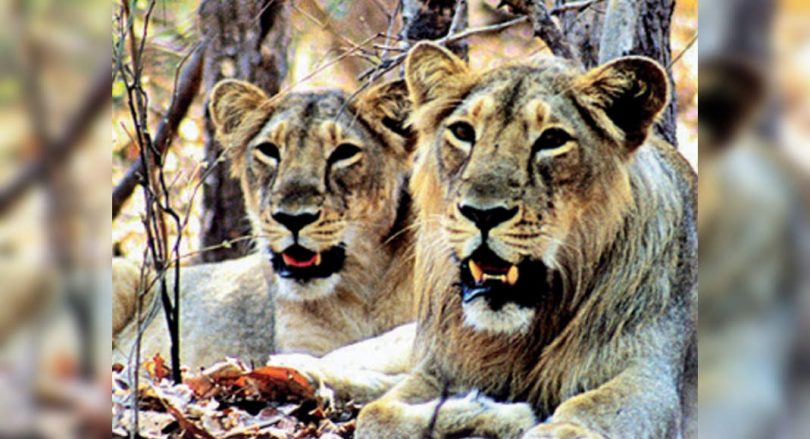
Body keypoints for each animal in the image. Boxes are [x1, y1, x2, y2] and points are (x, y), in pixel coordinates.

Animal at [354, 42, 698, 438]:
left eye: (552, 140)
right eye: (463, 131)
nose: (483, 214)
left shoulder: (651, 378)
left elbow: (581, 415)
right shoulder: (437, 366)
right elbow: (375, 415)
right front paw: (489, 413)